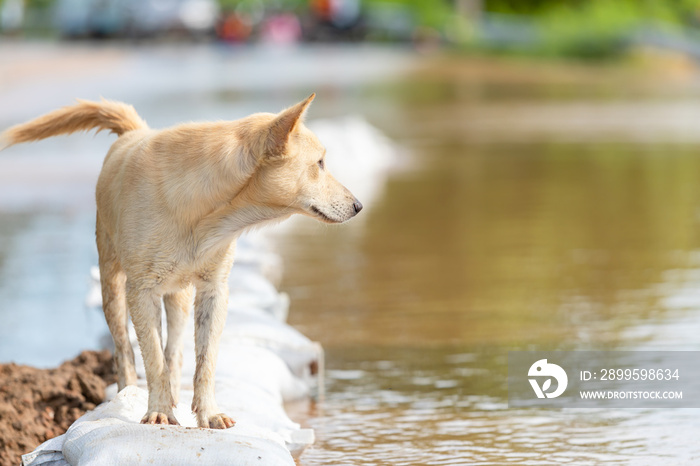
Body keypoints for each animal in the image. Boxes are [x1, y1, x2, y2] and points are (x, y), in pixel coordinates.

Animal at [0, 95, 360, 430]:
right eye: (320, 162)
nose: (358, 205)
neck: (207, 213)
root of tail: (134, 131)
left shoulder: (215, 290)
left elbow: (204, 360)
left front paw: (209, 414)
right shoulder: (140, 291)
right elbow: (152, 358)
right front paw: (158, 412)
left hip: (179, 297)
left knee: (174, 351)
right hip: (111, 284)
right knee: (125, 349)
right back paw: (128, 395)